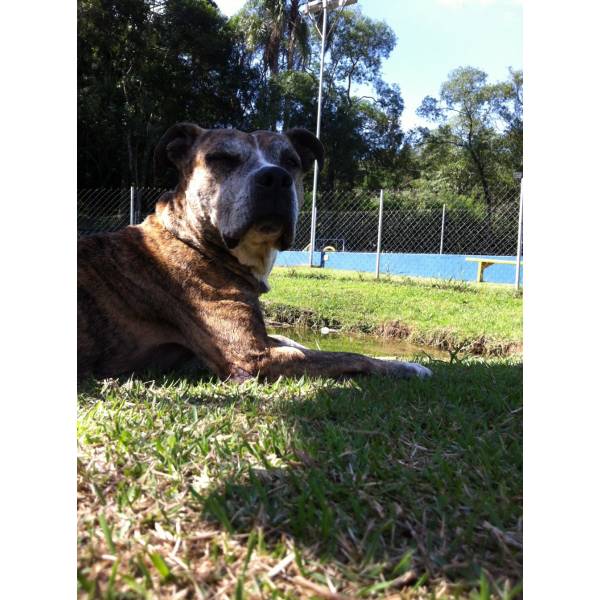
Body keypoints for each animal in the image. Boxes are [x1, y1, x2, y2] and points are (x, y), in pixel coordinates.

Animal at [77, 124, 434, 382]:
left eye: (291, 161)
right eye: (222, 158)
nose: (275, 176)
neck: (194, 242)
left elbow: (294, 340)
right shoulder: (251, 354)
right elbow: (349, 356)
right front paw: (407, 366)